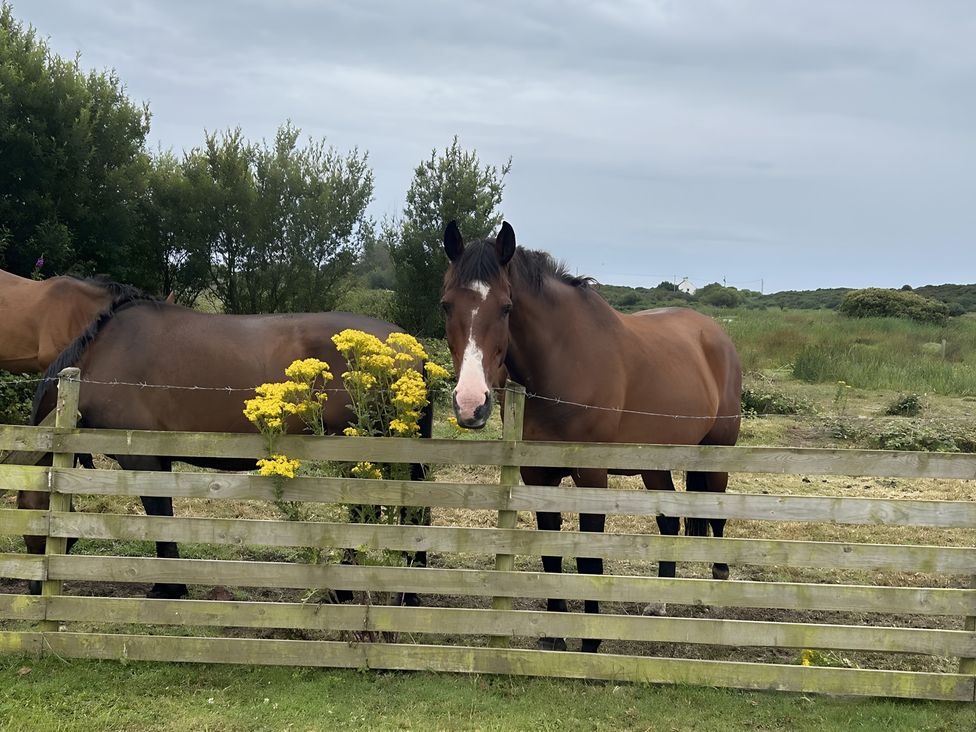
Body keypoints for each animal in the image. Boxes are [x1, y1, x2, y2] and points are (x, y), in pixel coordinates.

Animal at [20, 288, 432, 602]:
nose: (31, 588)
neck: (103, 359)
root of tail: (410, 347)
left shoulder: (143, 459)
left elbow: (158, 517)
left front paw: (168, 587)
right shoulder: (159, 460)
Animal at [440, 221, 741, 653]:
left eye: (506, 307)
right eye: (446, 305)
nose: (470, 403)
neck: (565, 364)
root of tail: (715, 333)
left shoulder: (591, 476)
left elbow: (589, 558)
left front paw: (590, 641)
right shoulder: (538, 475)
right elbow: (551, 554)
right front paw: (555, 636)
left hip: (718, 454)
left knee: (717, 517)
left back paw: (718, 586)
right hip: (655, 463)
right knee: (670, 523)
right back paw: (660, 603)